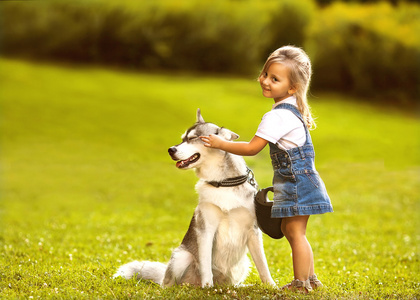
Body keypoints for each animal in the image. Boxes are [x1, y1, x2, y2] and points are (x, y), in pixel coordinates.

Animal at [113, 109, 276, 288]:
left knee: (232, 282)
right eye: (182, 139)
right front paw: (208, 288)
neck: (222, 183)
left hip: (243, 263)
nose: (170, 149)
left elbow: (263, 265)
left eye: (192, 139)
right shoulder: (206, 229)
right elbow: (205, 265)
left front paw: (271, 286)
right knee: (168, 283)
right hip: (182, 257)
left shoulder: (253, 231)